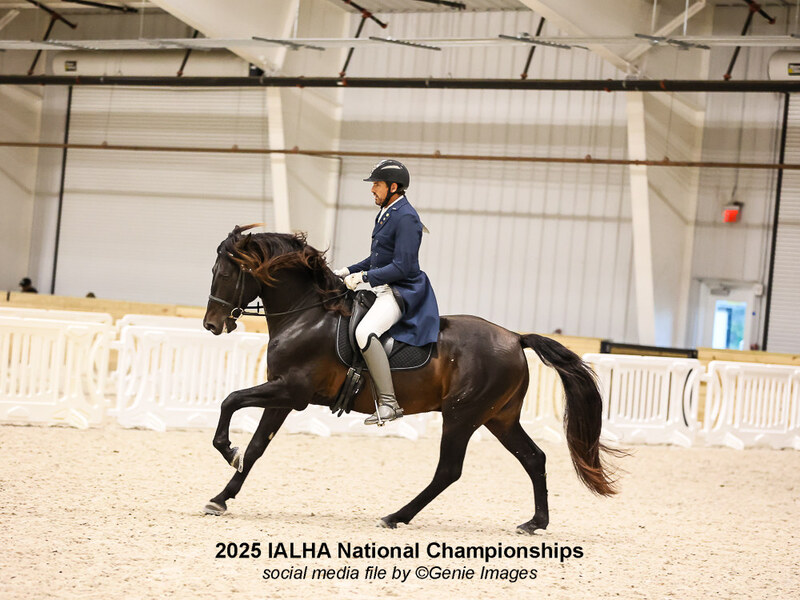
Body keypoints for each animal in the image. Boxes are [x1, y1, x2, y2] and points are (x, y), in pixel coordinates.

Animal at [202, 225, 619, 533]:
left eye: (224, 273)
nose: (211, 325)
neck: (309, 314)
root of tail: (516, 338)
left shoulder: (291, 391)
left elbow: (230, 401)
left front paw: (227, 451)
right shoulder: (284, 396)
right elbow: (256, 446)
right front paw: (221, 497)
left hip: (462, 415)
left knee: (449, 470)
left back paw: (395, 516)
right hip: (499, 418)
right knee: (534, 458)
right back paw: (535, 523)